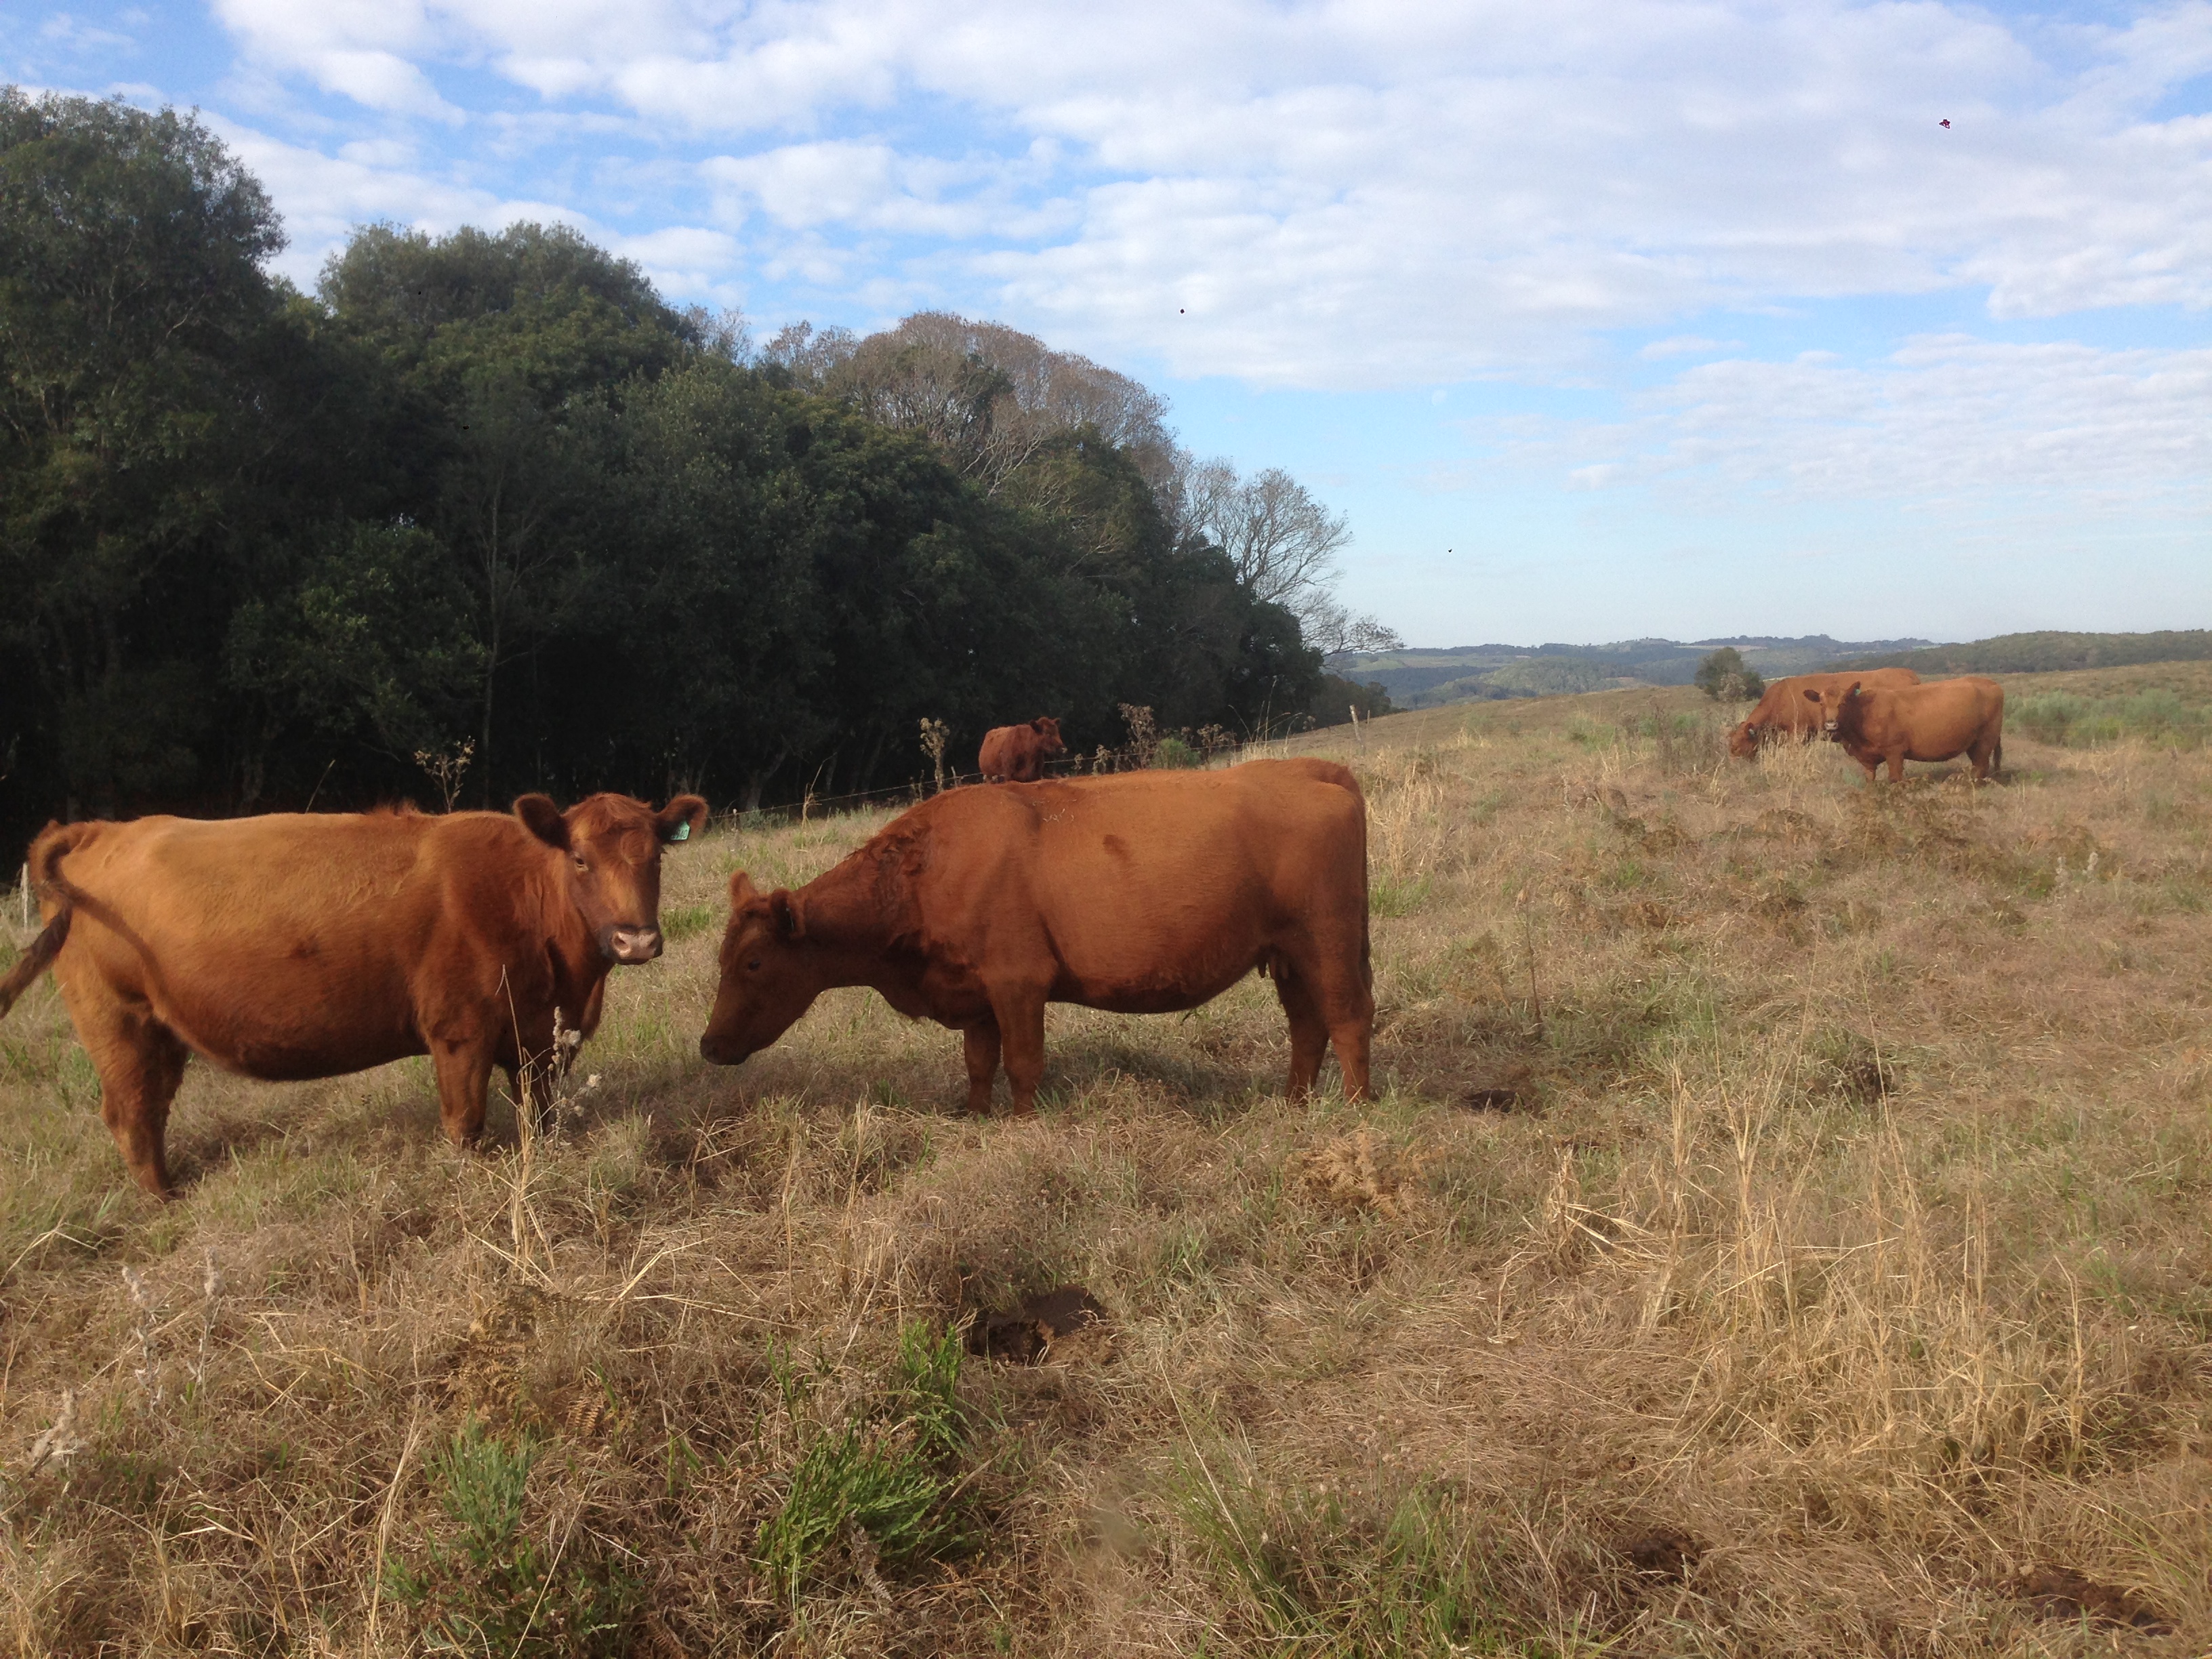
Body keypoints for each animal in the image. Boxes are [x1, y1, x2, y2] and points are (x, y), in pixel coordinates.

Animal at [0, 796, 703, 1194]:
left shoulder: (538, 1041)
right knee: (131, 1115)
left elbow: (540, 1116)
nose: (636, 939)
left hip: (162, 1031)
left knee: (149, 1110)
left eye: (657, 859)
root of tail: (99, 831)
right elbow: (466, 1125)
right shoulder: (460, 1033)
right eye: (580, 859)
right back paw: (162, 1200)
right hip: (117, 1023)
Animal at [699, 765, 1371, 1119]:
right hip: (1288, 956)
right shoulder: (974, 994)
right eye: (722, 959)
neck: (924, 873)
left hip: (1330, 941)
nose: (707, 1046)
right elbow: (978, 1064)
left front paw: (1022, 1126)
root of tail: (1305, 769)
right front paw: (976, 1119)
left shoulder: (1018, 981)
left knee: (1348, 1019)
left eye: (754, 961)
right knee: (1307, 1026)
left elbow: (1023, 1064)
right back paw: (1294, 1104)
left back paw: (1355, 1109)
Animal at [1796, 676, 2008, 787]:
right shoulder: (1867, 759)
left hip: (1985, 739)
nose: (1831, 725)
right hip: (1974, 743)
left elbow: (1895, 779)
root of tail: (1989, 682)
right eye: (1821, 704)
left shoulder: (1895, 752)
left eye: (1844, 702)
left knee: (1981, 767)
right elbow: (1870, 780)